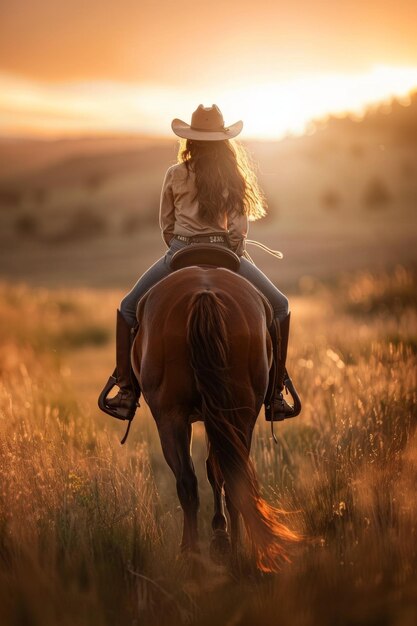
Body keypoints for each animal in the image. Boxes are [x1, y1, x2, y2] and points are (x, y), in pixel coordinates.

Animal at [132, 264, 298, 572]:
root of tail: (204, 294)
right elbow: (215, 469)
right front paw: (220, 535)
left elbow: (211, 470)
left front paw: (218, 534)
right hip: (238, 412)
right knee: (227, 477)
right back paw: (228, 550)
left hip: (172, 415)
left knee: (189, 480)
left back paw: (196, 553)